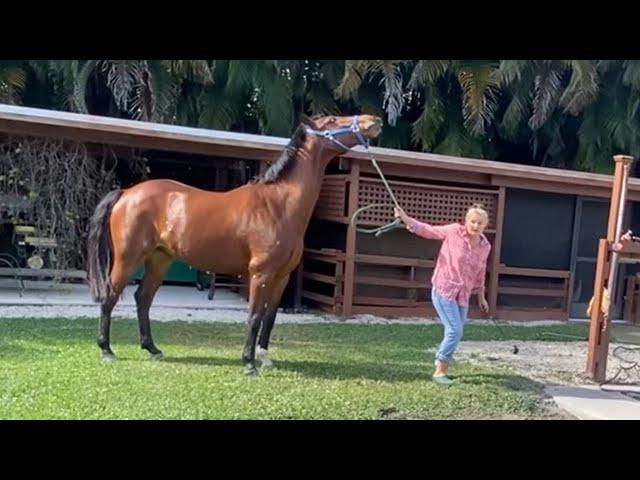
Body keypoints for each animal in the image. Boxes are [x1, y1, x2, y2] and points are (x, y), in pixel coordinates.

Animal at [87, 113, 382, 376]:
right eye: (332, 120)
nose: (374, 121)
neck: (278, 205)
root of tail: (127, 192)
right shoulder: (260, 274)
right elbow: (254, 316)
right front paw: (249, 364)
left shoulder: (281, 277)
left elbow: (269, 317)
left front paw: (265, 358)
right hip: (128, 259)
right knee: (110, 296)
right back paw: (107, 350)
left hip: (159, 260)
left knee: (143, 298)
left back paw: (152, 349)